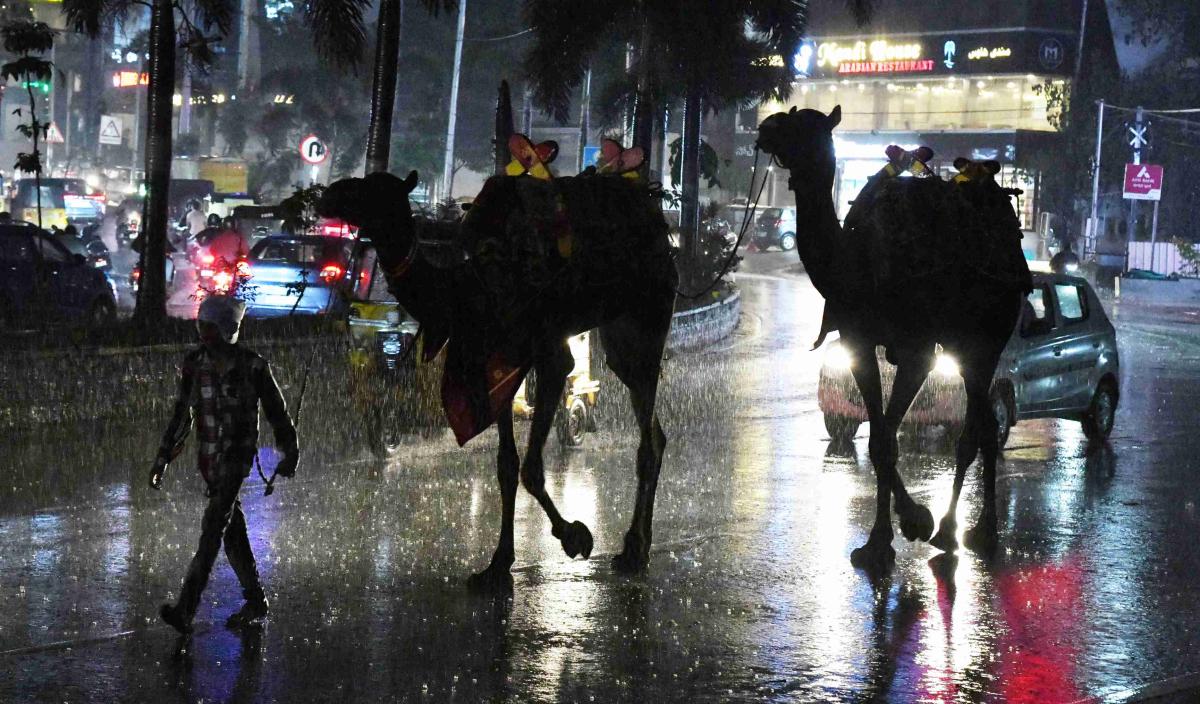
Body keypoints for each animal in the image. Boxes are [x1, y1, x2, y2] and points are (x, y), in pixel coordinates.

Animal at [314, 170, 681, 590]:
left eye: (373, 189)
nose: (328, 194)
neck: (467, 289)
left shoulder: (549, 354)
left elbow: (532, 468)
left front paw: (574, 536)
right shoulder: (499, 366)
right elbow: (506, 466)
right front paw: (497, 564)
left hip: (651, 311)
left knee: (645, 435)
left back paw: (634, 548)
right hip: (620, 332)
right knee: (650, 422)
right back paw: (639, 543)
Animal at [758, 108, 1032, 573]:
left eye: (805, 125)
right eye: (791, 116)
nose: (765, 128)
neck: (854, 264)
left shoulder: (917, 349)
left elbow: (887, 437)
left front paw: (910, 524)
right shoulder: (859, 343)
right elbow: (880, 440)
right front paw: (886, 537)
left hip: (986, 340)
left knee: (979, 431)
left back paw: (973, 532)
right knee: (979, 427)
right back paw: (956, 529)